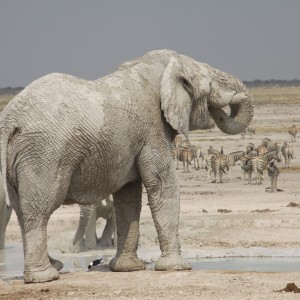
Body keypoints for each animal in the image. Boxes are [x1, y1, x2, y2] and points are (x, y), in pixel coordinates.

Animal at [0, 49, 253, 284]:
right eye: (210, 83)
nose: (229, 102)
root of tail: (10, 117)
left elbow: (128, 196)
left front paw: (127, 268)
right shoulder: (153, 129)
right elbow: (163, 185)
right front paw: (177, 267)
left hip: (20, 155)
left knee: (22, 210)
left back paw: (54, 266)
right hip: (43, 152)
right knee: (39, 209)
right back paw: (45, 277)